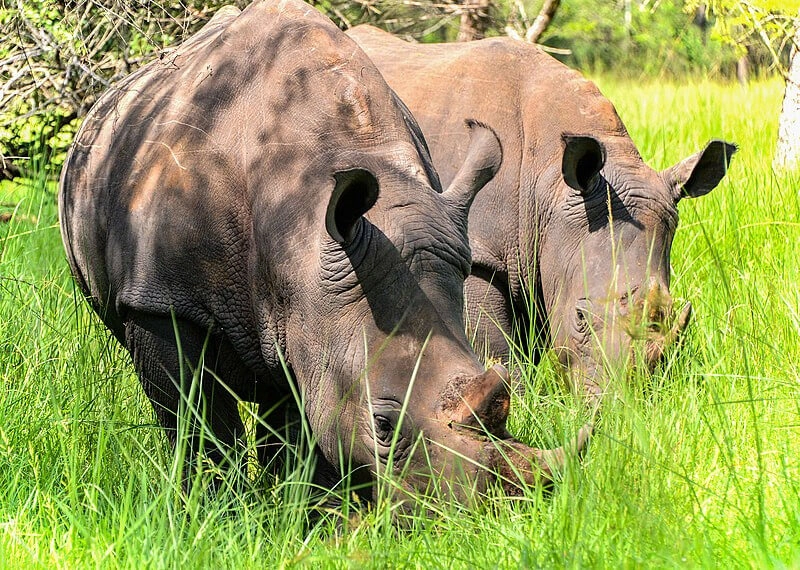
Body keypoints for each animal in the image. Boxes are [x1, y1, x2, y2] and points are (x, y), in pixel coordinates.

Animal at [58, 0, 588, 506]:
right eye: (382, 426)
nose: (478, 515)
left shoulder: (316, 305)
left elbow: (308, 418)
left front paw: (313, 512)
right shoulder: (159, 298)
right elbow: (198, 424)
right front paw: (213, 508)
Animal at [348, 26, 736, 404]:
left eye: (673, 313)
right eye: (580, 317)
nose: (620, 408)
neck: (550, 188)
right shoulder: (478, 251)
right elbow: (498, 348)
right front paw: (518, 405)